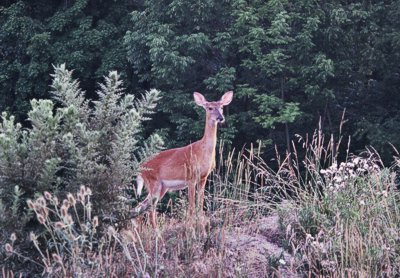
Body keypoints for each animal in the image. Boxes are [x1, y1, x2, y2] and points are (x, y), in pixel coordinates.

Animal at [135, 91, 234, 228]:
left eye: (222, 107)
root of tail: (140, 169)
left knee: (140, 207)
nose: (220, 118)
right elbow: (191, 206)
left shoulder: (203, 177)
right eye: (210, 108)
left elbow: (200, 203)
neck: (202, 152)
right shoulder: (191, 177)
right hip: (153, 182)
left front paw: (200, 222)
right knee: (149, 209)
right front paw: (191, 225)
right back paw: (156, 230)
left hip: (162, 187)